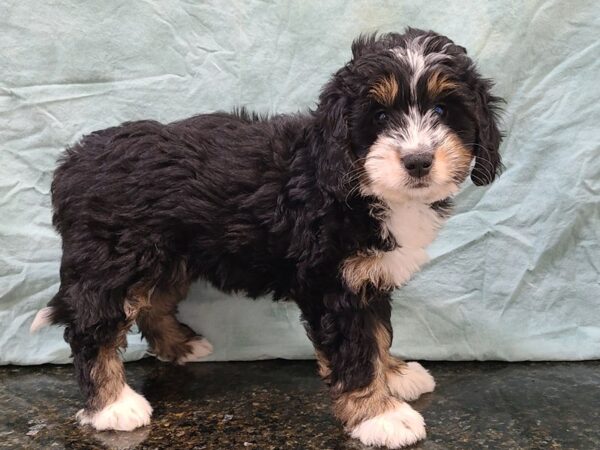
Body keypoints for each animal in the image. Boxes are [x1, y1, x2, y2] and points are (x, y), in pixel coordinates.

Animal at [31, 27, 502, 446]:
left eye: (441, 111)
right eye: (380, 116)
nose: (418, 161)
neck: (350, 178)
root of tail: (73, 162)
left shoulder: (367, 275)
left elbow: (379, 333)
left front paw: (396, 374)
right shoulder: (333, 284)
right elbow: (356, 350)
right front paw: (380, 416)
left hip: (168, 256)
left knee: (153, 303)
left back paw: (182, 345)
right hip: (116, 261)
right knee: (92, 330)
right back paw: (113, 405)